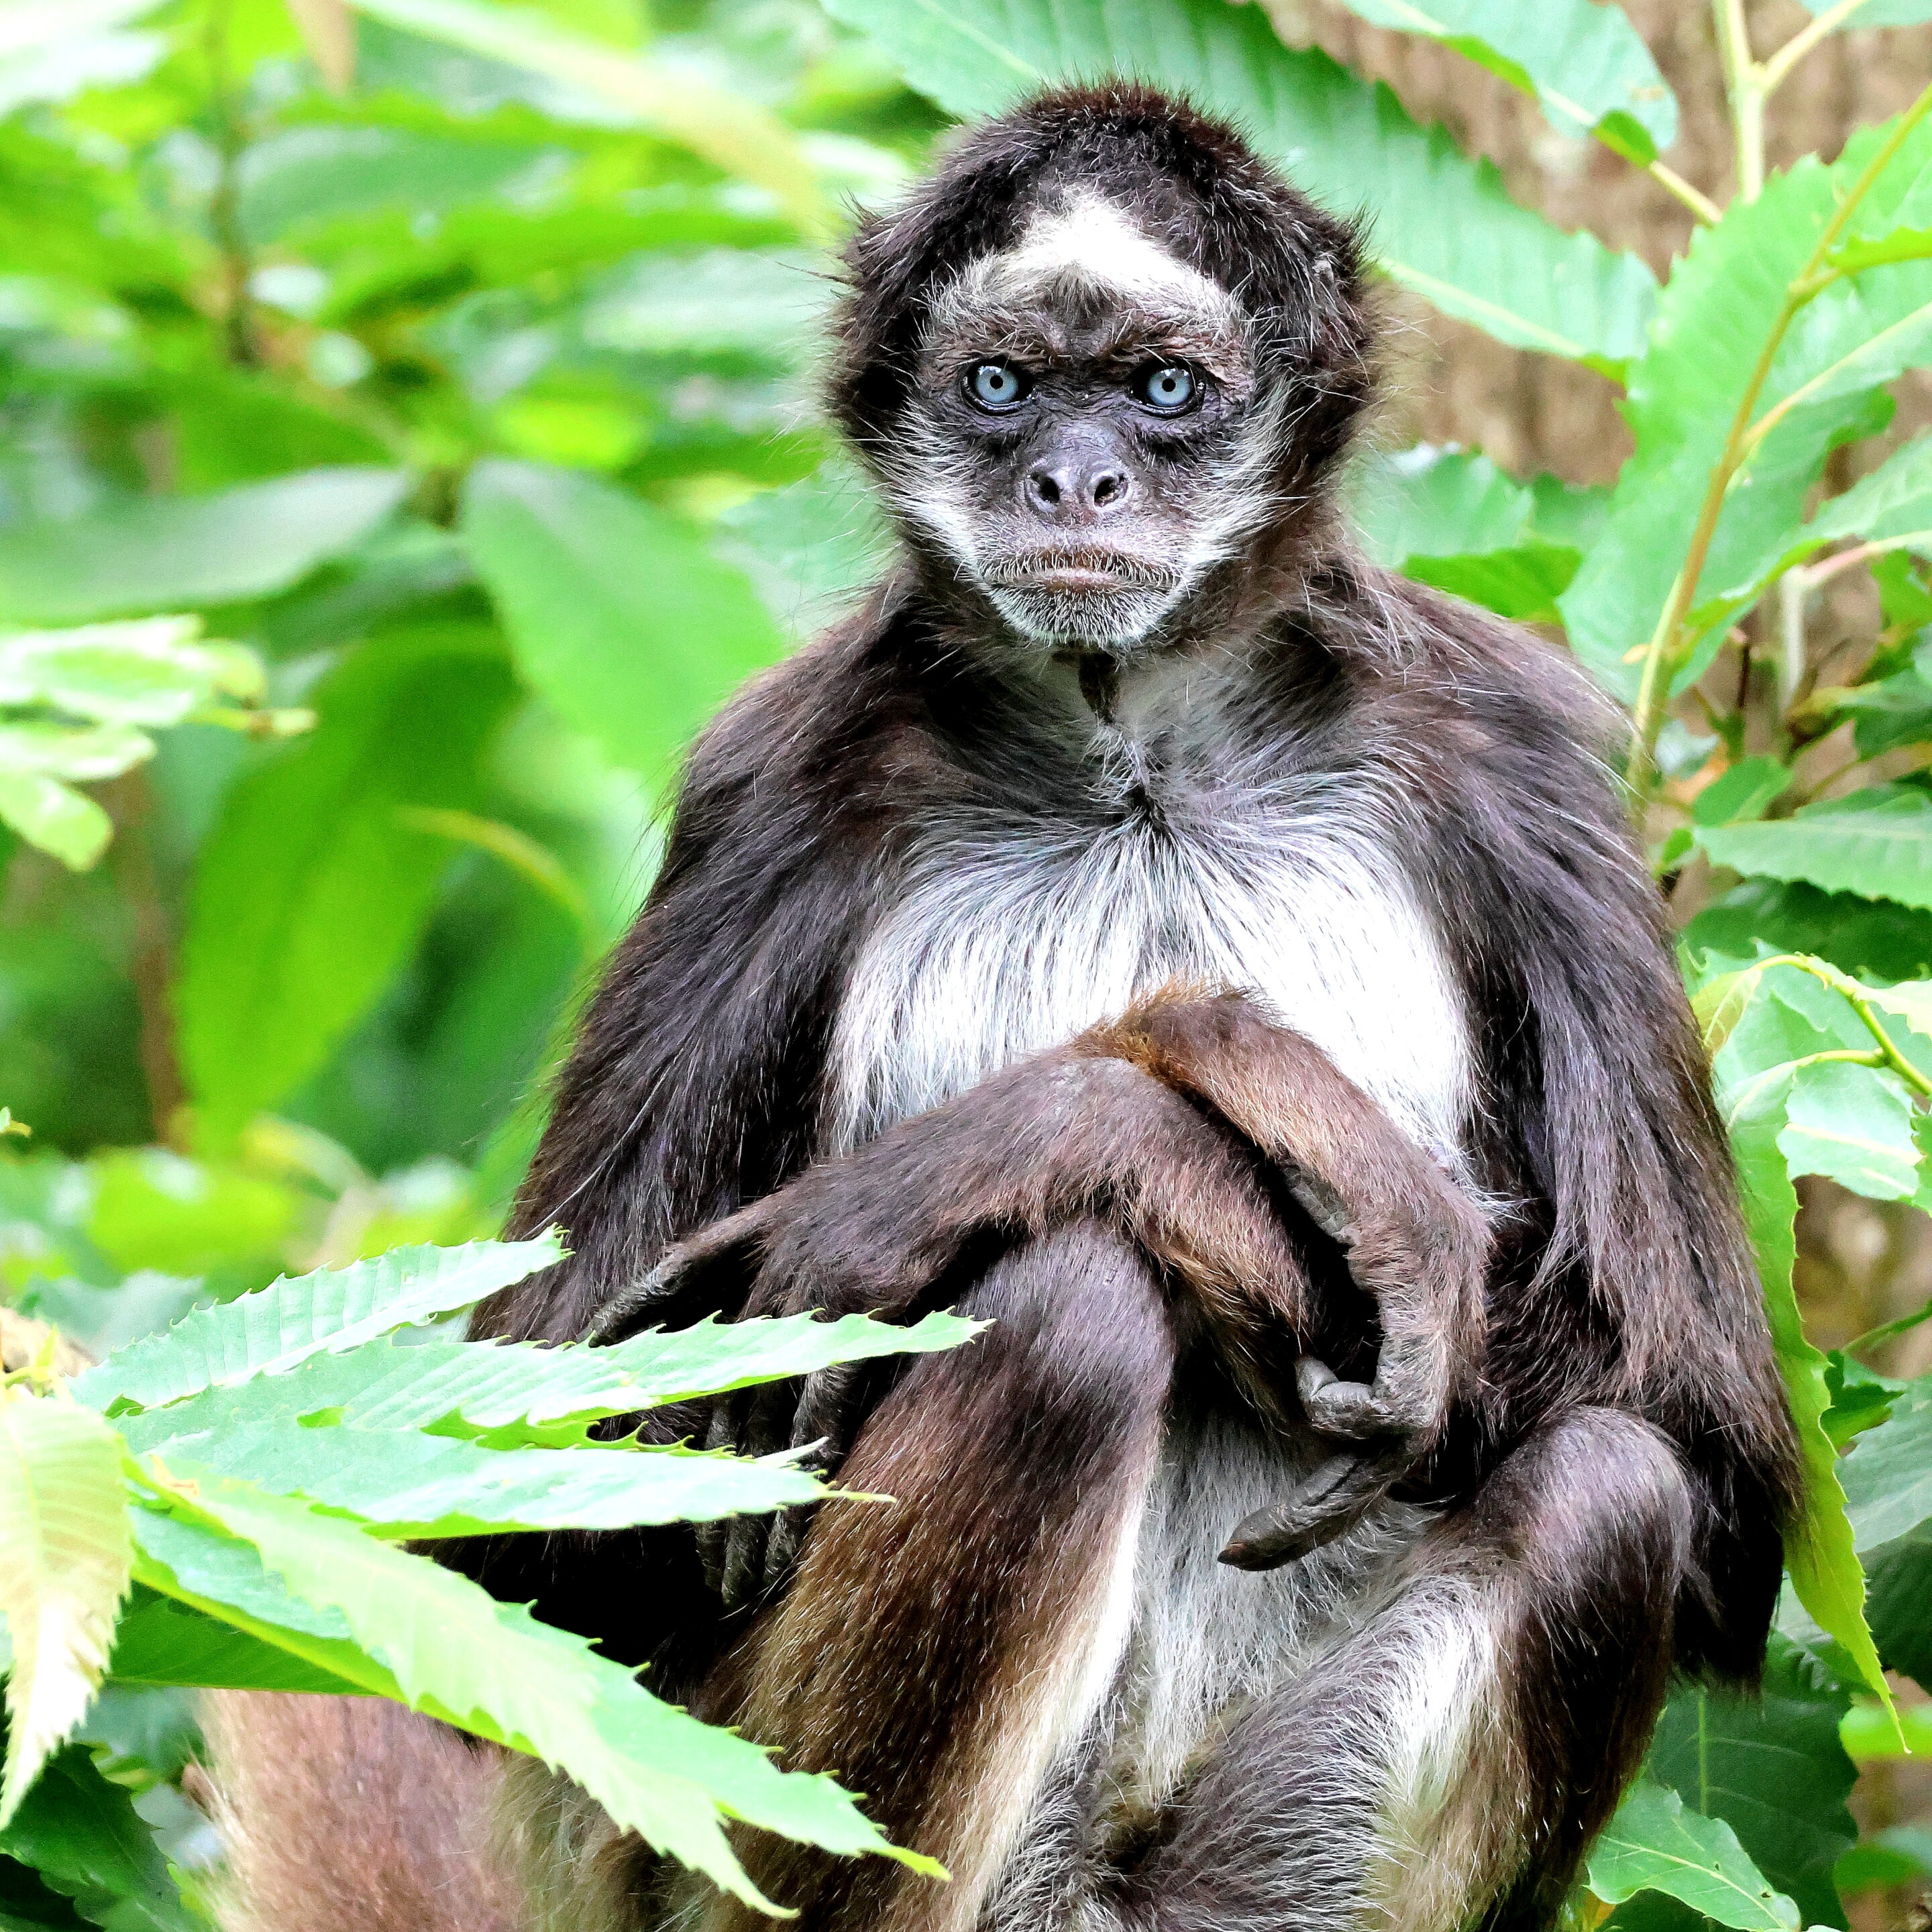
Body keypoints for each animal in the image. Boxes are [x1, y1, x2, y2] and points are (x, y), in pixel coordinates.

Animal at [207, 83, 1800, 1932]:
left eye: (1164, 390)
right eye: (1002, 384)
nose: (1072, 474)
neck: (1136, 765)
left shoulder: (1518, 755)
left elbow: (1709, 1454)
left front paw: (1125, 1124)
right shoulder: (777, 788)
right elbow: (517, 1538)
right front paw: (1138, 1125)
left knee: (1610, 1487)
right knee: (1062, 1319)